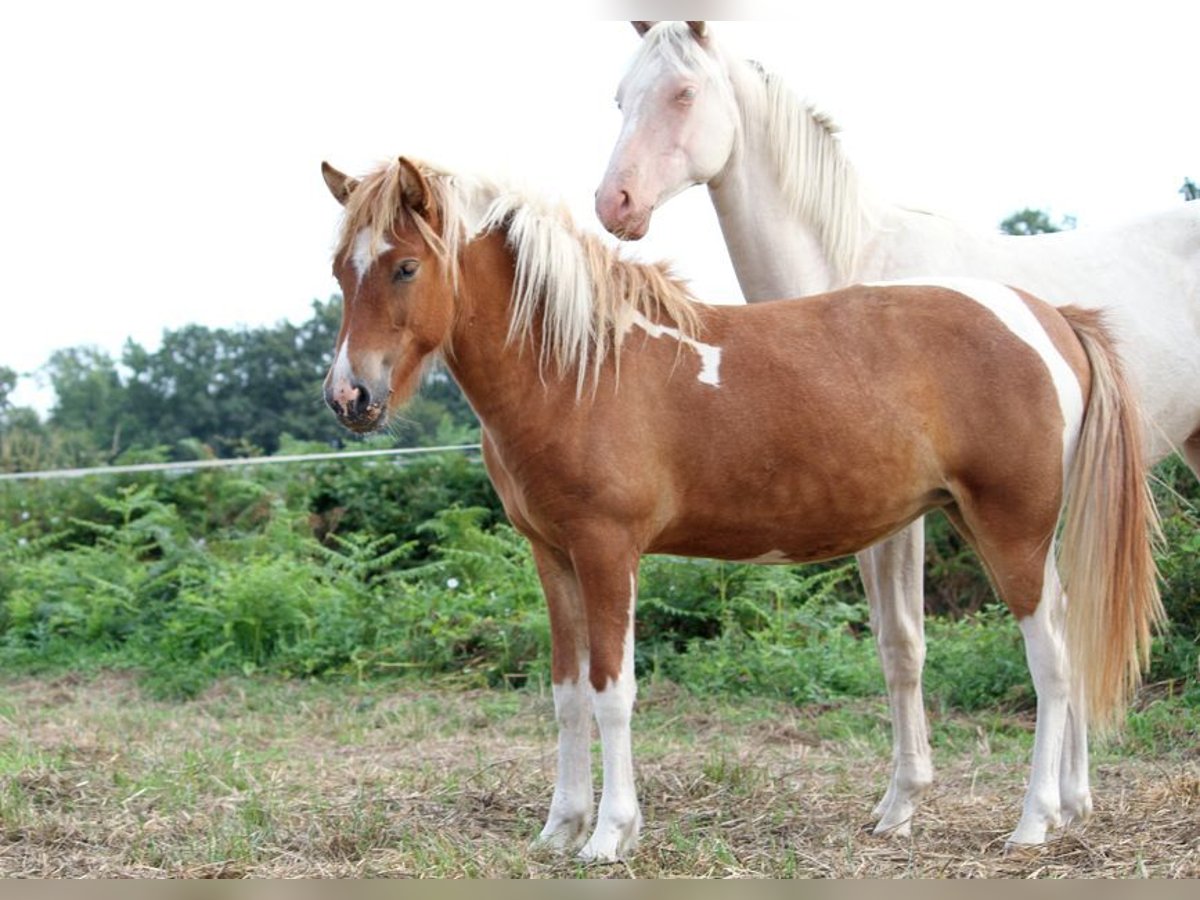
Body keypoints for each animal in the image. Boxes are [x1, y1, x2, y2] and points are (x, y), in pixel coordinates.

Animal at [321, 158, 1161, 864]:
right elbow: (566, 695)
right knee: (1068, 634)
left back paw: (1033, 822)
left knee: (1051, 662)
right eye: (338, 271)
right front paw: (559, 828)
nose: (349, 397)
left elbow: (611, 692)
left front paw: (609, 835)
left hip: (1010, 530)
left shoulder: (607, 552)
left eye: (404, 266)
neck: (582, 364)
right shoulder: (552, 556)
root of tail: (1050, 319)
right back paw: (1061, 806)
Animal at [592, 21, 1200, 849]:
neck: (851, 261)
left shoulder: (905, 521)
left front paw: (907, 801)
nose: (614, 203)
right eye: (621, 96)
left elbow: (908, 644)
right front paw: (909, 801)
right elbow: (893, 645)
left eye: (683, 92)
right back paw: (1072, 799)